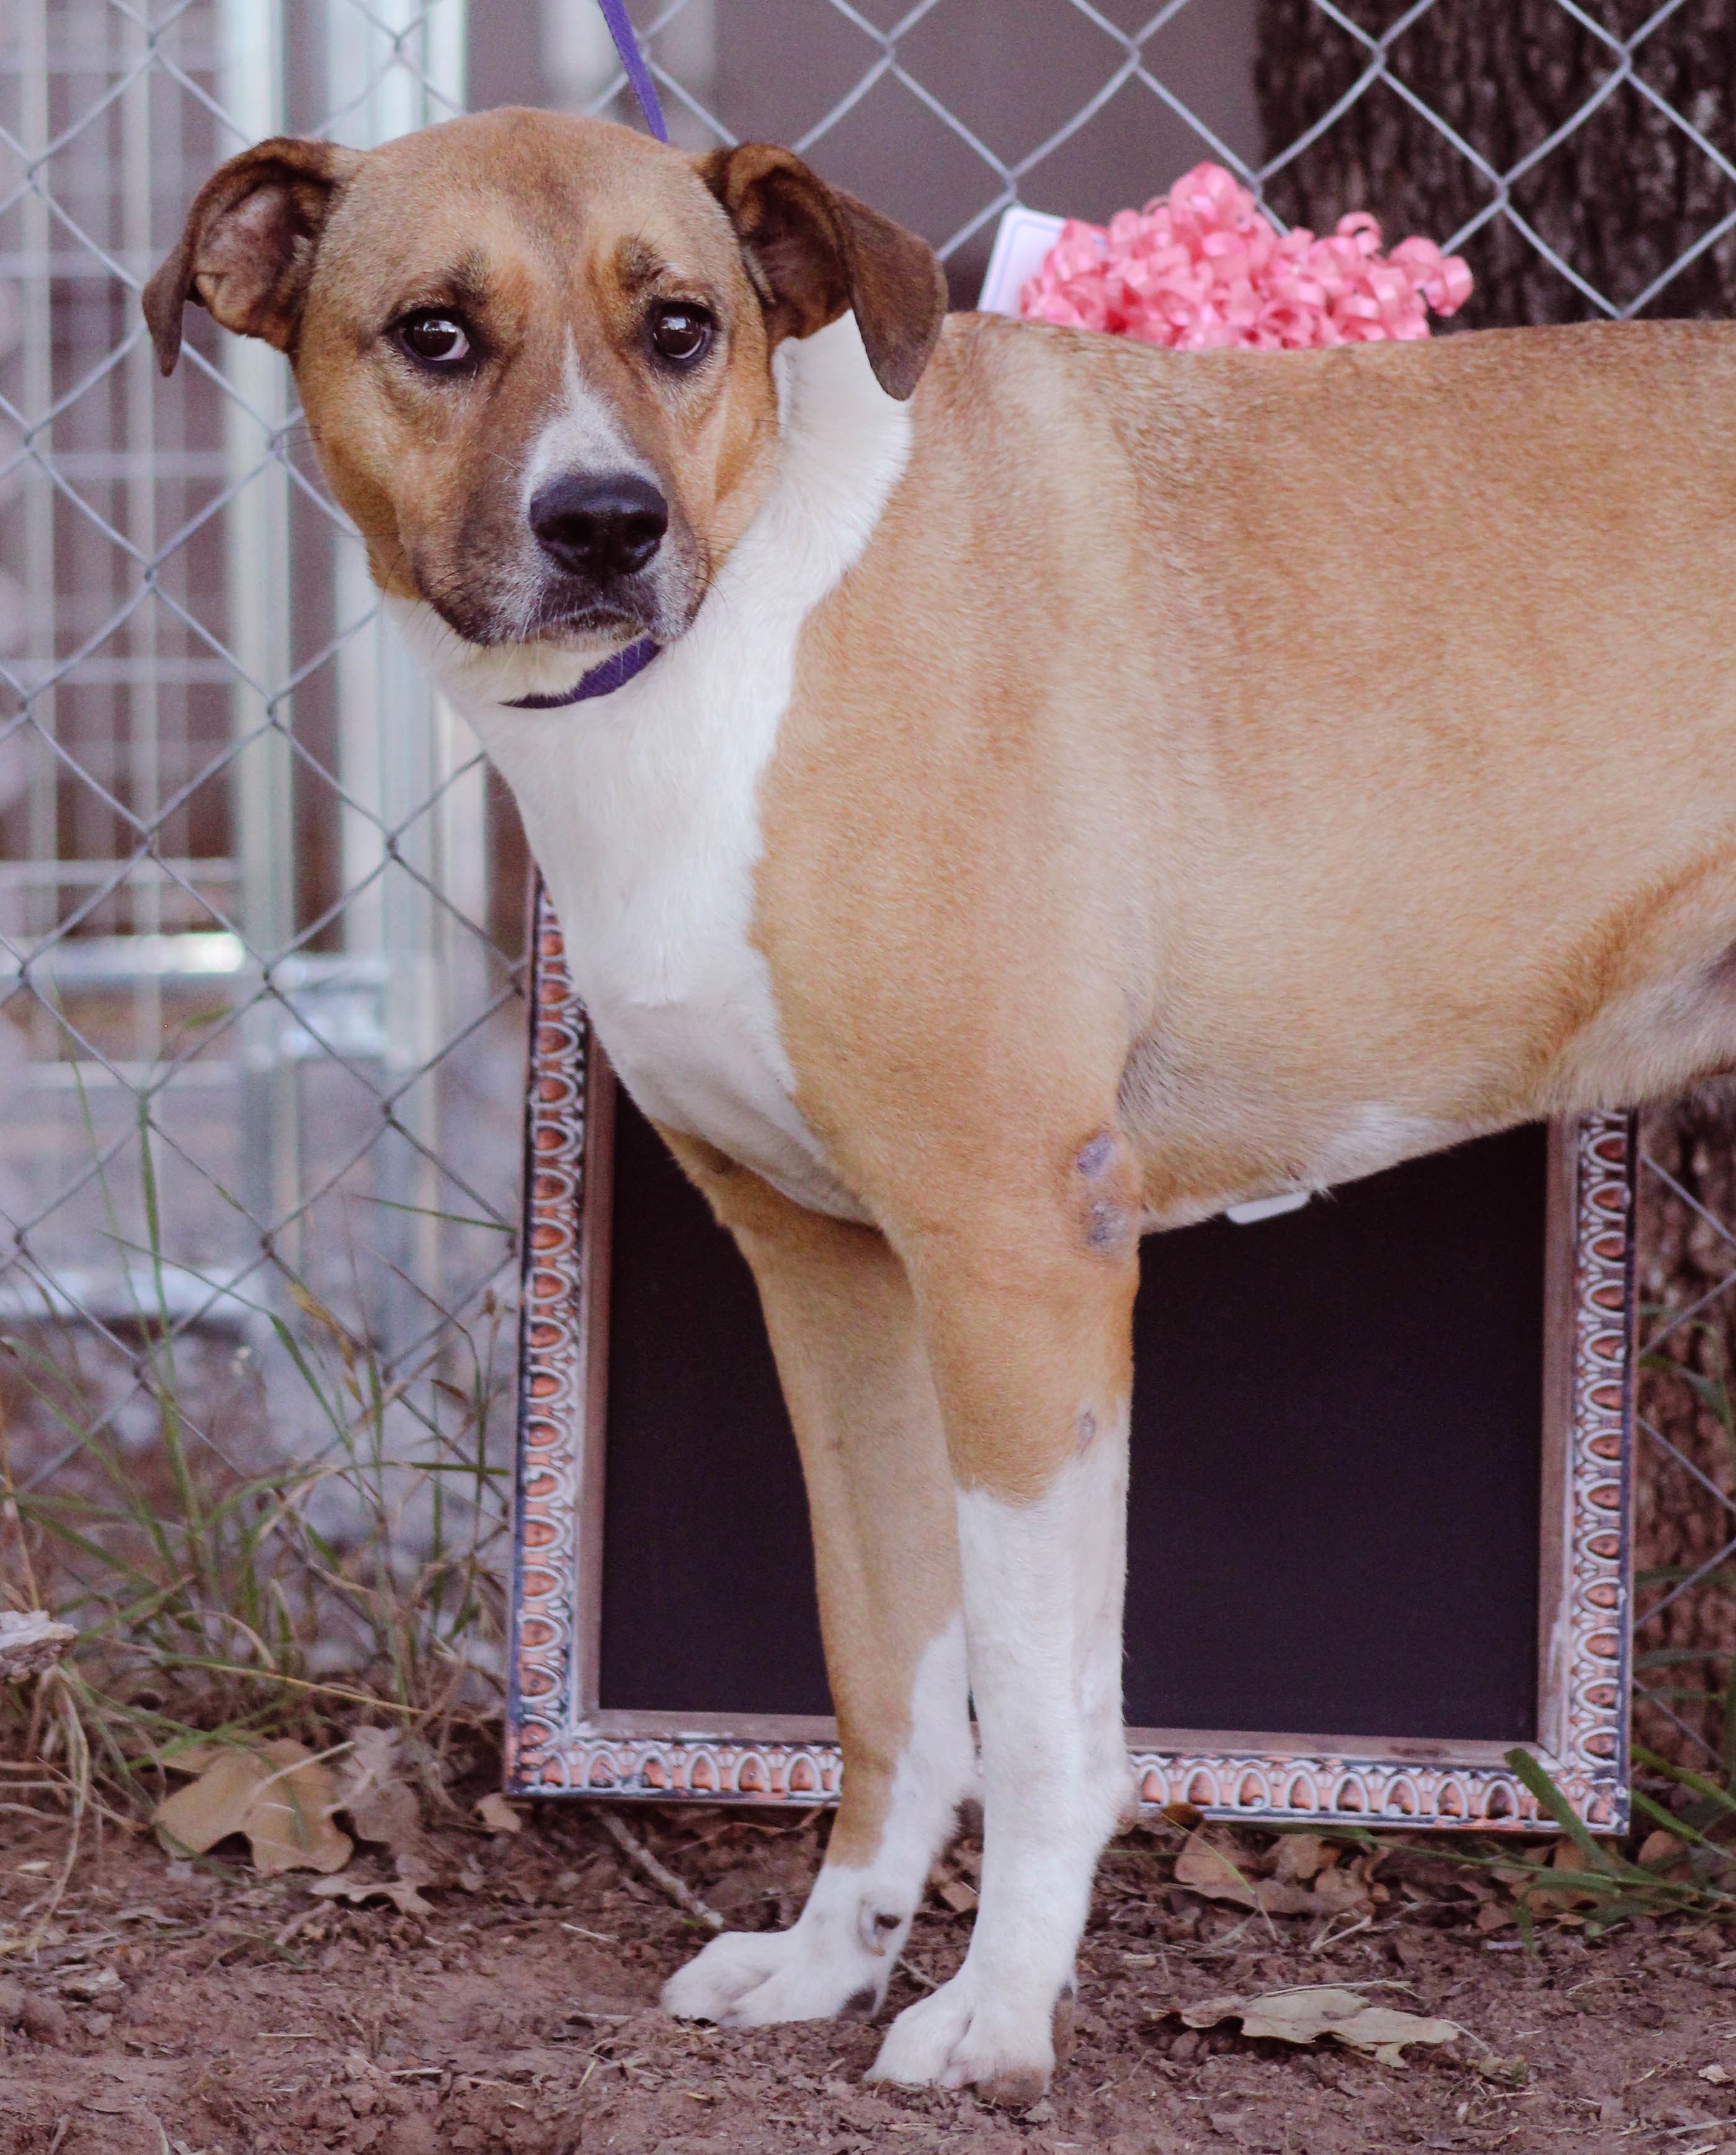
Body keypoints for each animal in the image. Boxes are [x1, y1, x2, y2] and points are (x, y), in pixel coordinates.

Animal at [146, 105, 1736, 2103]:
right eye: (433, 333)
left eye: (678, 326)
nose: (603, 524)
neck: (739, 633)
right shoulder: (830, 1281)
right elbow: (883, 1672)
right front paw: (834, 1956)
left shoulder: (1018, 1259)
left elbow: (1045, 1714)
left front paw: (993, 2014)